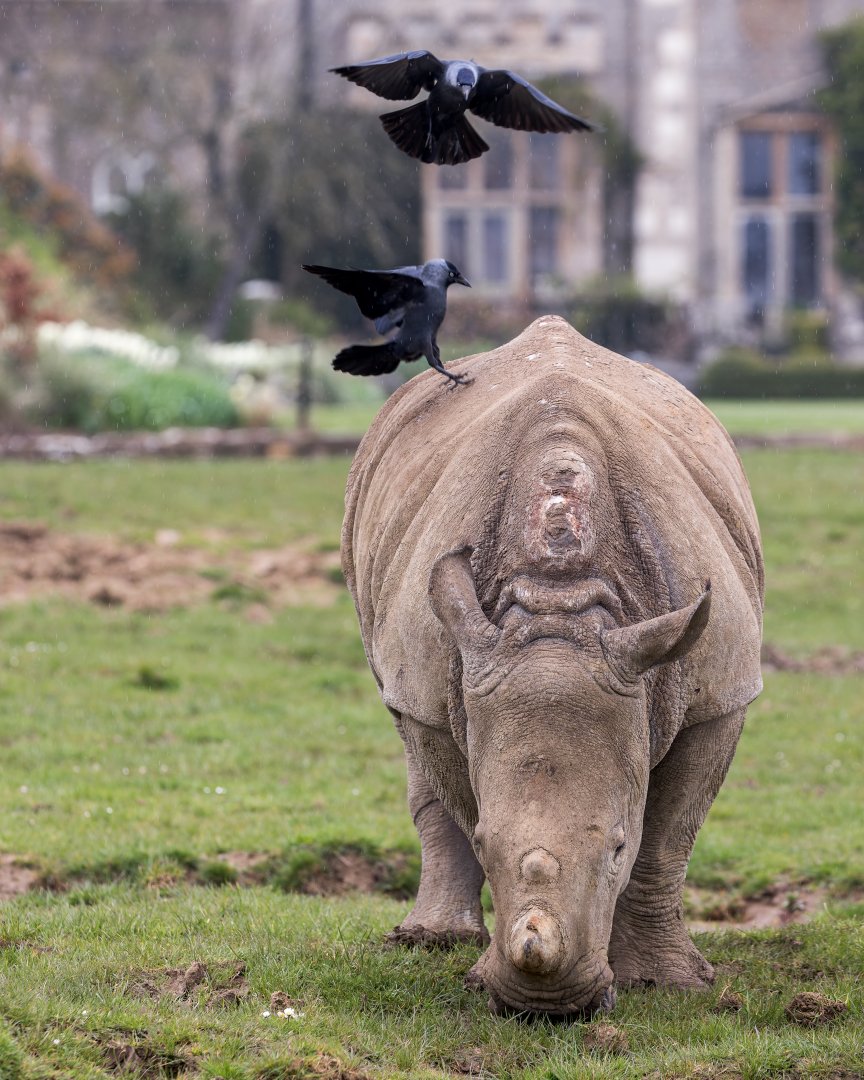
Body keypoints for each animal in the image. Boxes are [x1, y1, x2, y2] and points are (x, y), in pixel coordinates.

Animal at [341, 317, 763, 1015]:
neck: (561, 604)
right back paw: (428, 942)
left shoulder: (719, 692)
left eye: (617, 847)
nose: (545, 1010)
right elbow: (466, 799)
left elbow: (668, 840)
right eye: (486, 843)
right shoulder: (457, 672)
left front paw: (667, 983)